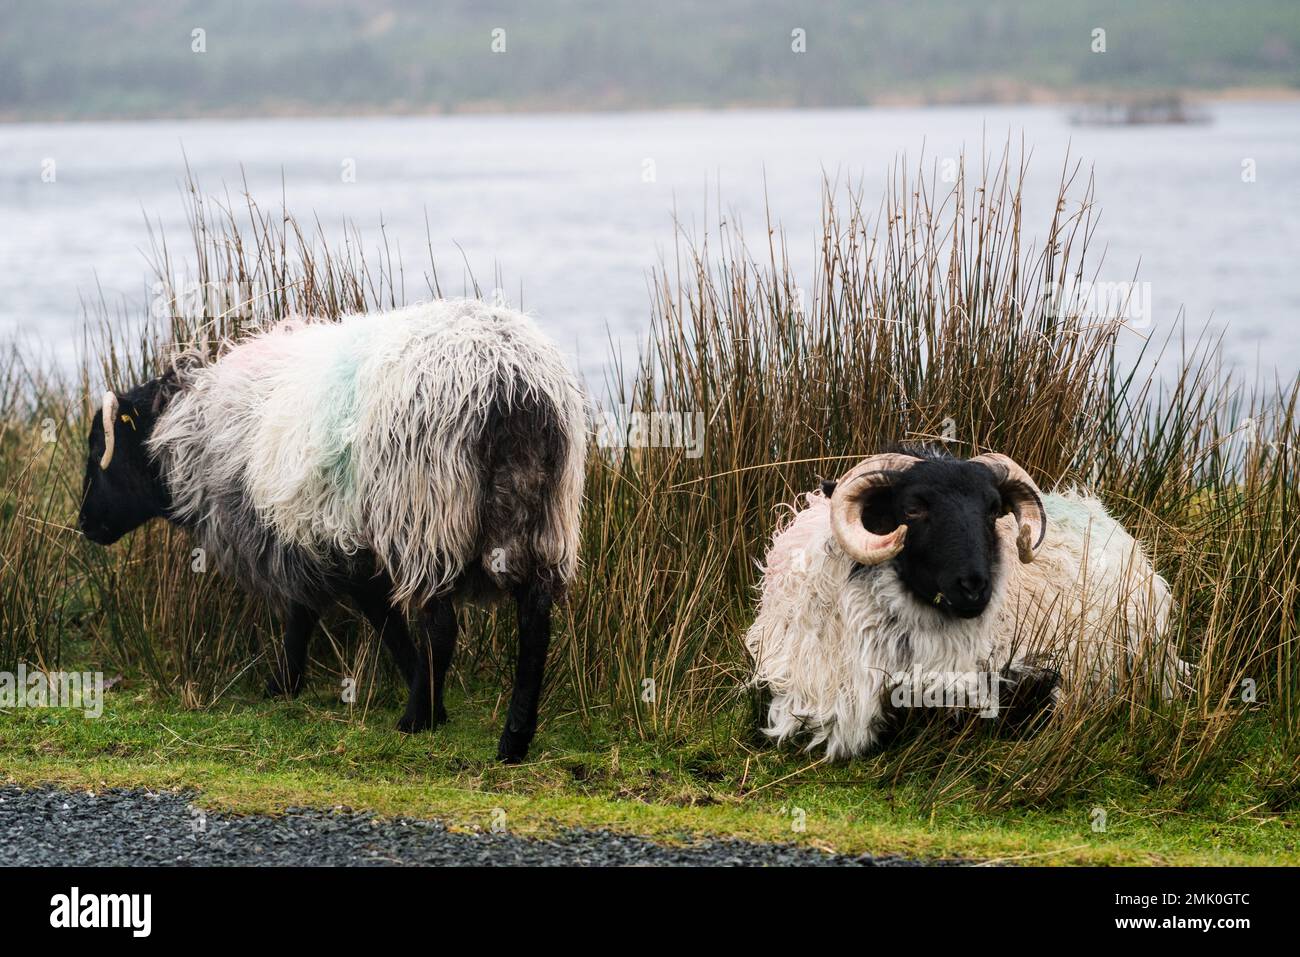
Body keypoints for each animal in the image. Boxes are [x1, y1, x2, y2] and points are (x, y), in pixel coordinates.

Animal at [78, 299, 587, 764]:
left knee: (442, 625)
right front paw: (287, 685)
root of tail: (508, 380)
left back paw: (415, 719)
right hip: (541, 516)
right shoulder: (304, 540)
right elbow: (309, 615)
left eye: (98, 448)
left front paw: (424, 704)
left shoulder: (331, 546)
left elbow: (371, 623)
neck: (190, 432)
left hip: (427, 514)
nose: (84, 525)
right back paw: (514, 740)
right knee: (535, 622)